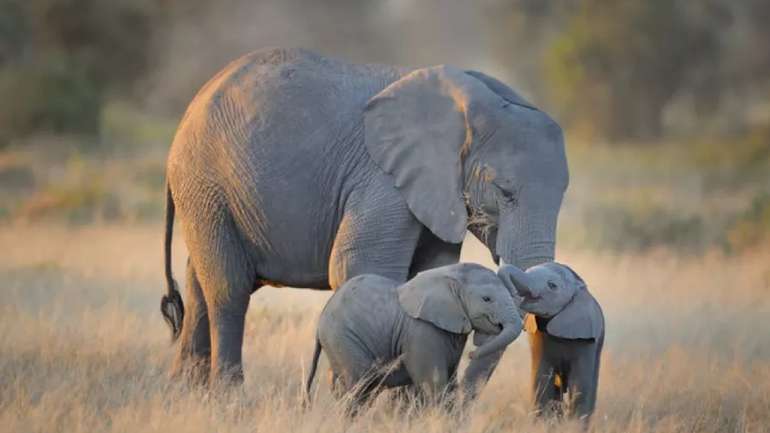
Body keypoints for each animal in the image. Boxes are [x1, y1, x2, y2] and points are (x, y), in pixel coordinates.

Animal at [162, 47, 568, 384]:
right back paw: (229, 398)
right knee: (228, 289)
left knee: (199, 283)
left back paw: (187, 395)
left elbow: (429, 272)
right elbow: (360, 266)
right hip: (205, 183)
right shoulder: (382, 180)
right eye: (504, 192)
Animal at [304, 262, 520, 410]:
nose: (471, 354)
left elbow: (450, 382)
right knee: (359, 387)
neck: (450, 274)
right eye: (487, 299)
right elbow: (434, 384)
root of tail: (320, 322)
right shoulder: (421, 331)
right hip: (343, 338)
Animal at [496, 262, 604, 420]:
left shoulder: (586, 342)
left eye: (552, 285)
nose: (514, 293)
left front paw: (573, 424)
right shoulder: (538, 339)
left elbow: (579, 386)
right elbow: (541, 380)